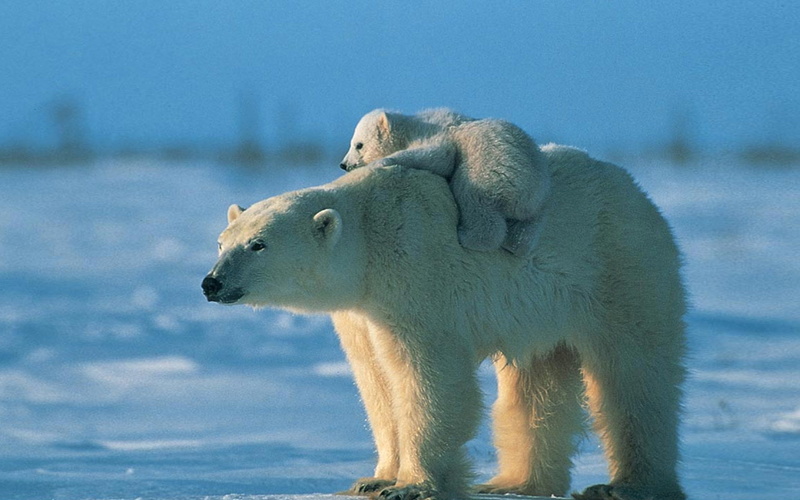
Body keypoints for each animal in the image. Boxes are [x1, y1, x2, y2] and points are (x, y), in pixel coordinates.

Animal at [203, 145, 687, 500]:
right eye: (222, 242)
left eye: (259, 244)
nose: (212, 282)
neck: (369, 239)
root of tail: (637, 191)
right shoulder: (362, 313)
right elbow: (376, 382)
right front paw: (375, 478)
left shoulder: (415, 277)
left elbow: (427, 376)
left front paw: (412, 486)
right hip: (542, 311)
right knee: (536, 387)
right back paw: (512, 483)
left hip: (619, 269)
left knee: (634, 376)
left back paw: (626, 486)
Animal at [339, 108, 550, 257]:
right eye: (352, 142)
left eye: (359, 145)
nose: (343, 164)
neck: (412, 126)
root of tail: (527, 195)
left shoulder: (434, 133)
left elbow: (440, 155)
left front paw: (381, 161)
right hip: (538, 199)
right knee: (528, 229)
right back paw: (515, 244)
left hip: (489, 170)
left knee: (473, 198)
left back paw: (466, 235)